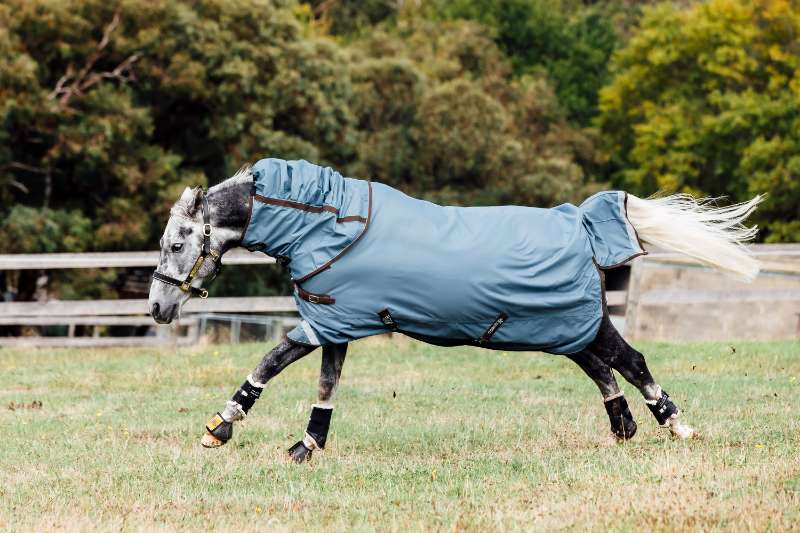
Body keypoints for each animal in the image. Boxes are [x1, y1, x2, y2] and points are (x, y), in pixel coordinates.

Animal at [149, 158, 762, 463]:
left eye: (177, 243)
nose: (157, 307)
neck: (327, 223)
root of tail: (582, 223)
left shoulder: (327, 323)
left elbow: (272, 361)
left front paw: (219, 428)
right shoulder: (336, 323)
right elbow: (326, 386)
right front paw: (308, 445)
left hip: (578, 323)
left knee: (630, 362)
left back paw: (679, 427)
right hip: (562, 327)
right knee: (601, 368)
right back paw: (623, 427)